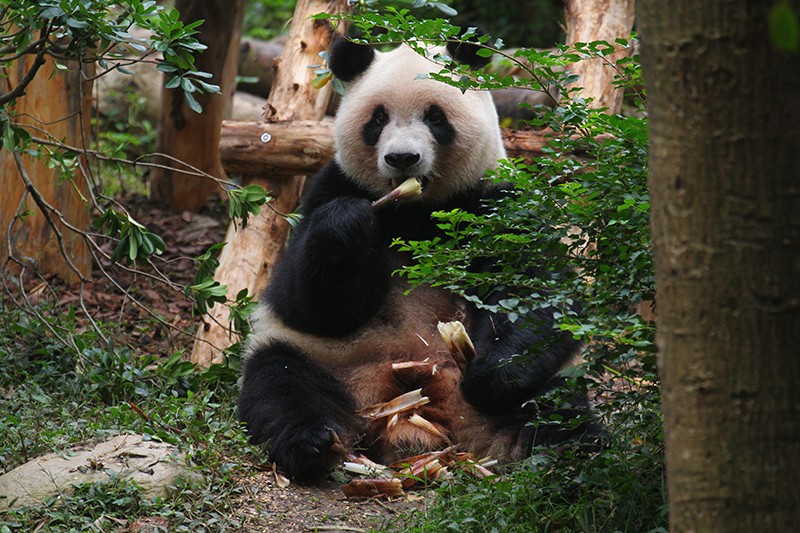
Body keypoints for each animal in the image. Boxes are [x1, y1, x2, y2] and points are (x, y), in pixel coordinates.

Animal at [238, 38, 594, 480]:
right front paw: (345, 225)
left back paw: (570, 457)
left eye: (435, 116)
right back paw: (314, 444)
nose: (402, 158)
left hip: (545, 387)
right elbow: (308, 305)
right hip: (322, 360)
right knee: (282, 385)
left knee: (559, 411)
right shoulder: (331, 187)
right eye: (378, 118)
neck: (416, 210)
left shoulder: (498, 201)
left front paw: (490, 376)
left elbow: (536, 291)